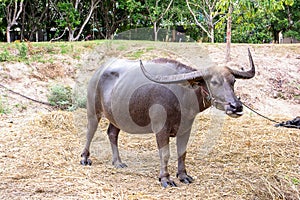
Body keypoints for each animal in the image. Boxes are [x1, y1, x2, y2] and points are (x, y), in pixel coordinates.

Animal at [80, 48, 255, 188]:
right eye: (213, 82)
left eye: (233, 81)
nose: (236, 106)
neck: (182, 95)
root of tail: (98, 72)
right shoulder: (161, 128)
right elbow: (165, 154)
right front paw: (165, 179)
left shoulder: (186, 128)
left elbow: (182, 152)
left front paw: (183, 175)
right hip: (93, 111)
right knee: (90, 131)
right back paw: (85, 158)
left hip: (117, 117)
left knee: (112, 133)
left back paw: (117, 162)